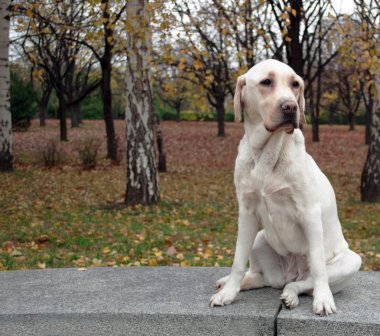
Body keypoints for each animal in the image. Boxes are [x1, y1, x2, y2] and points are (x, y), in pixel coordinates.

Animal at [209, 59, 360, 316]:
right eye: (266, 82)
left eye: (295, 84)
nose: (291, 106)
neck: (267, 154)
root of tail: (292, 272)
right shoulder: (246, 212)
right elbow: (238, 260)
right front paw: (228, 293)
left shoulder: (309, 213)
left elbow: (318, 267)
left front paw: (323, 300)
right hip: (259, 238)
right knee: (263, 277)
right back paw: (231, 283)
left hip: (351, 261)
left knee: (302, 283)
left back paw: (291, 296)